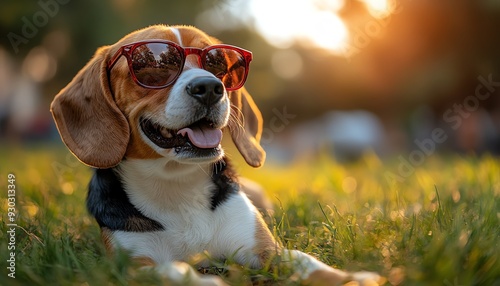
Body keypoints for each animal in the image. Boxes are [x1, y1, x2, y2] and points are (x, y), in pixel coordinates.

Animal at [49, 25, 378, 286]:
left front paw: (349, 277)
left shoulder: (263, 251)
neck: (177, 183)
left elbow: (303, 260)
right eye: (154, 66)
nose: (209, 86)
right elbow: (173, 270)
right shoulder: (133, 264)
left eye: (218, 64)